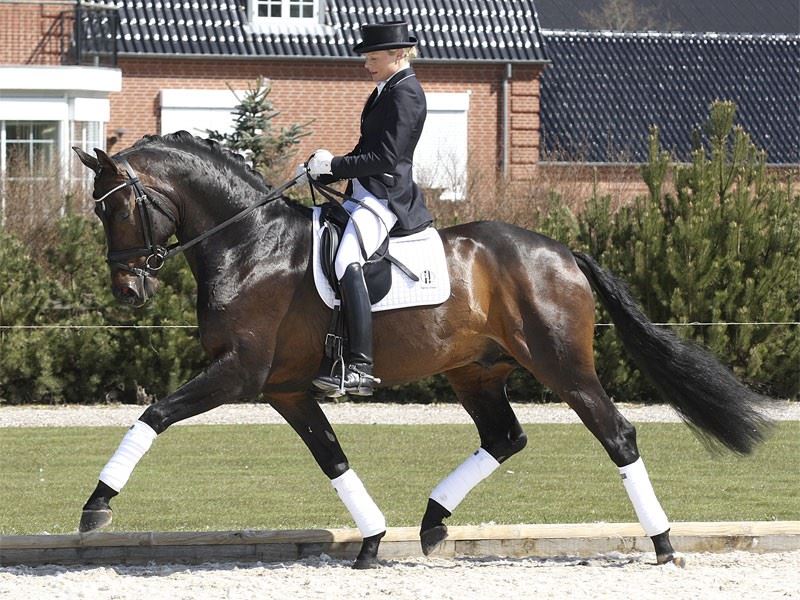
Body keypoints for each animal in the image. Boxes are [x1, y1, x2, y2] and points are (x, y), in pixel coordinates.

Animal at [73, 131, 771, 569]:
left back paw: (663, 543)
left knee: (617, 435)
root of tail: (563, 251)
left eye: (120, 207)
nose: (128, 291)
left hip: (562, 366)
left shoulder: (240, 375)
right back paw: (432, 522)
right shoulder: (286, 389)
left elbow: (154, 414)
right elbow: (332, 459)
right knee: (505, 437)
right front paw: (372, 542)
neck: (250, 247)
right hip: (474, 371)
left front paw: (96, 508)